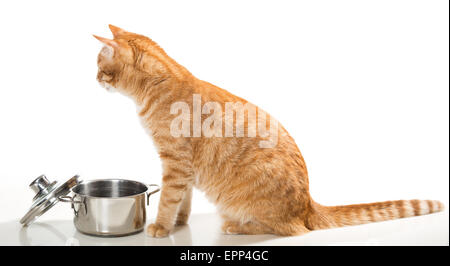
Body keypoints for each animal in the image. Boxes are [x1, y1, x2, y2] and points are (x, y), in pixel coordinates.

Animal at [94, 25, 442, 237]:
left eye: (99, 66)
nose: (94, 79)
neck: (158, 84)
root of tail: (308, 203)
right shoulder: (184, 168)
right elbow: (183, 201)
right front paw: (179, 224)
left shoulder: (175, 163)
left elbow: (168, 198)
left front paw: (161, 227)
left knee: (290, 229)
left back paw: (236, 226)